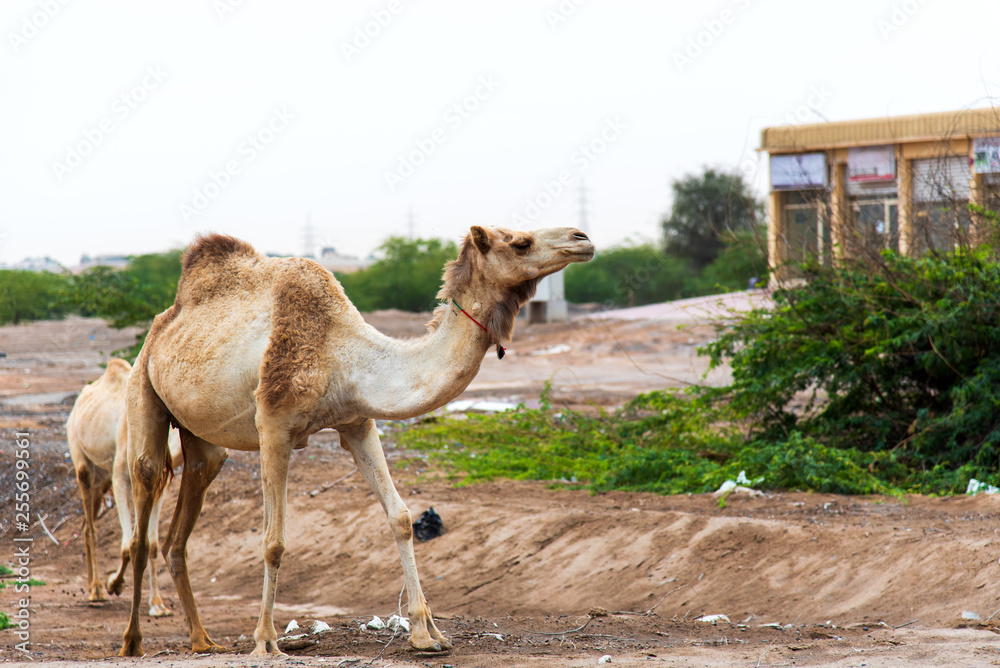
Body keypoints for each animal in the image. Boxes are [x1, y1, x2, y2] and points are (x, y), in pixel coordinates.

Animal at [66, 360, 182, 616]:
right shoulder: (121, 477)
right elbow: (127, 547)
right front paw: (114, 585)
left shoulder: (158, 489)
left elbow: (152, 545)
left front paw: (157, 604)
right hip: (82, 463)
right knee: (90, 527)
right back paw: (97, 590)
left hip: (103, 479)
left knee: (86, 524)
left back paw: (93, 586)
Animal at [117, 226, 592, 656]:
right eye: (521, 242)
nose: (582, 239)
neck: (344, 355)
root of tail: (162, 323)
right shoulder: (273, 427)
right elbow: (273, 541)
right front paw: (266, 642)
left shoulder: (357, 422)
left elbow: (401, 517)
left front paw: (428, 634)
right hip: (143, 391)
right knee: (143, 514)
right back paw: (132, 641)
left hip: (202, 442)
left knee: (182, 525)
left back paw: (201, 640)